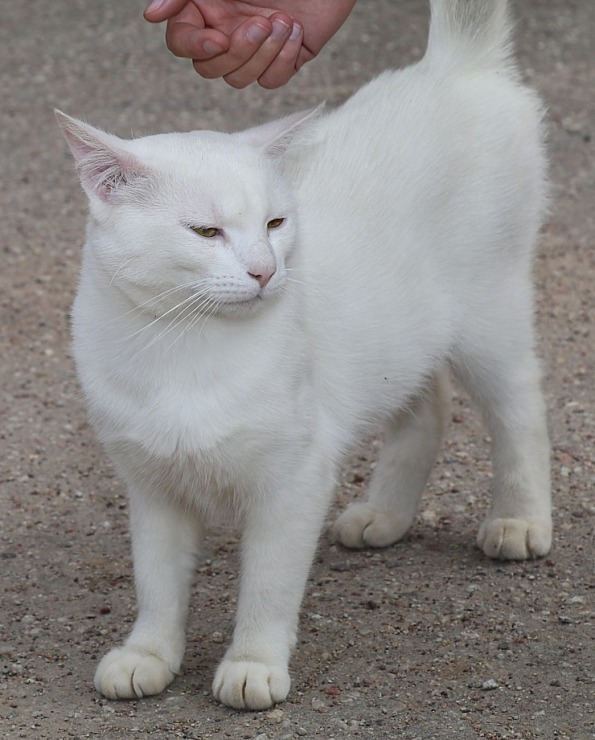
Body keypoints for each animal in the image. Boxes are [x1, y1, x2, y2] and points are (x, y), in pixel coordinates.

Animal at [58, 0, 552, 712]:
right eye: (205, 232)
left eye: (275, 224)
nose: (266, 271)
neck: (185, 346)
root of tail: (450, 66)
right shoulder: (153, 489)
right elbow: (156, 583)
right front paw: (148, 654)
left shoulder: (292, 483)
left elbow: (266, 588)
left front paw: (253, 665)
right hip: (402, 338)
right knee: (427, 406)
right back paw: (385, 515)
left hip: (491, 319)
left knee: (520, 411)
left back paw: (520, 519)